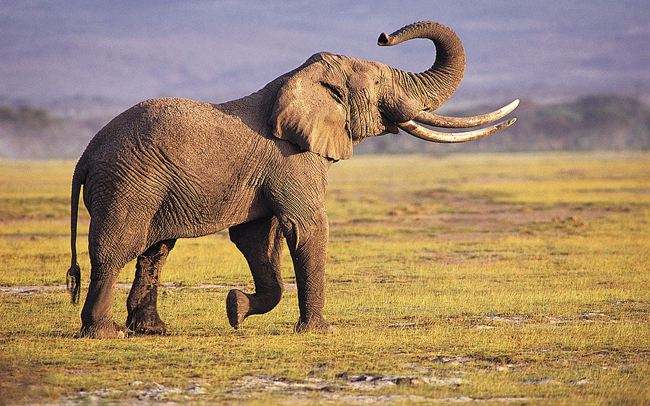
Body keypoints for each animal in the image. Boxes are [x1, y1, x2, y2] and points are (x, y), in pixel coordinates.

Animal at [65, 21, 518, 338]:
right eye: (377, 82)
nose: (383, 35)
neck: (299, 79)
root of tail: (85, 156)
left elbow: (256, 239)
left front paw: (235, 308)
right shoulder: (293, 159)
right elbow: (307, 227)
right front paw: (318, 331)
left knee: (155, 250)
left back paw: (153, 331)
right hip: (128, 181)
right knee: (117, 247)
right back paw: (102, 333)